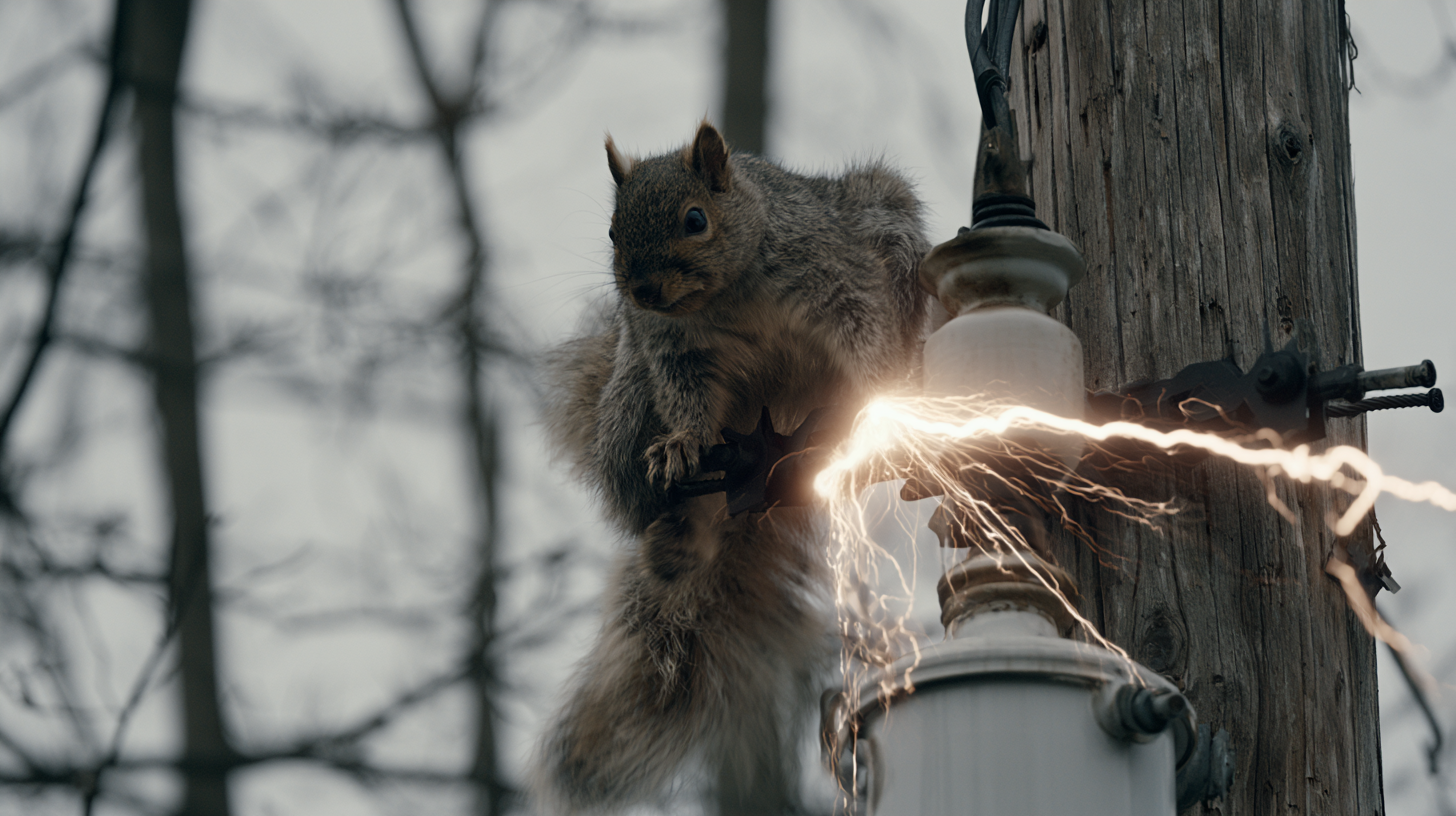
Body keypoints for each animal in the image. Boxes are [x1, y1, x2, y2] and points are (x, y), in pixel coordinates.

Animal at [535, 121, 931, 814]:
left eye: (696, 219)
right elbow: (688, 402)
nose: (642, 291)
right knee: (661, 508)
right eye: (611, 231)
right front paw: (682, 443)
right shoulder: (673, 351)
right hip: (628, 409)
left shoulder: (835, 275)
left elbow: (863, 331)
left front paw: (883, 387)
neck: (727, 295)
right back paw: (677, 535)